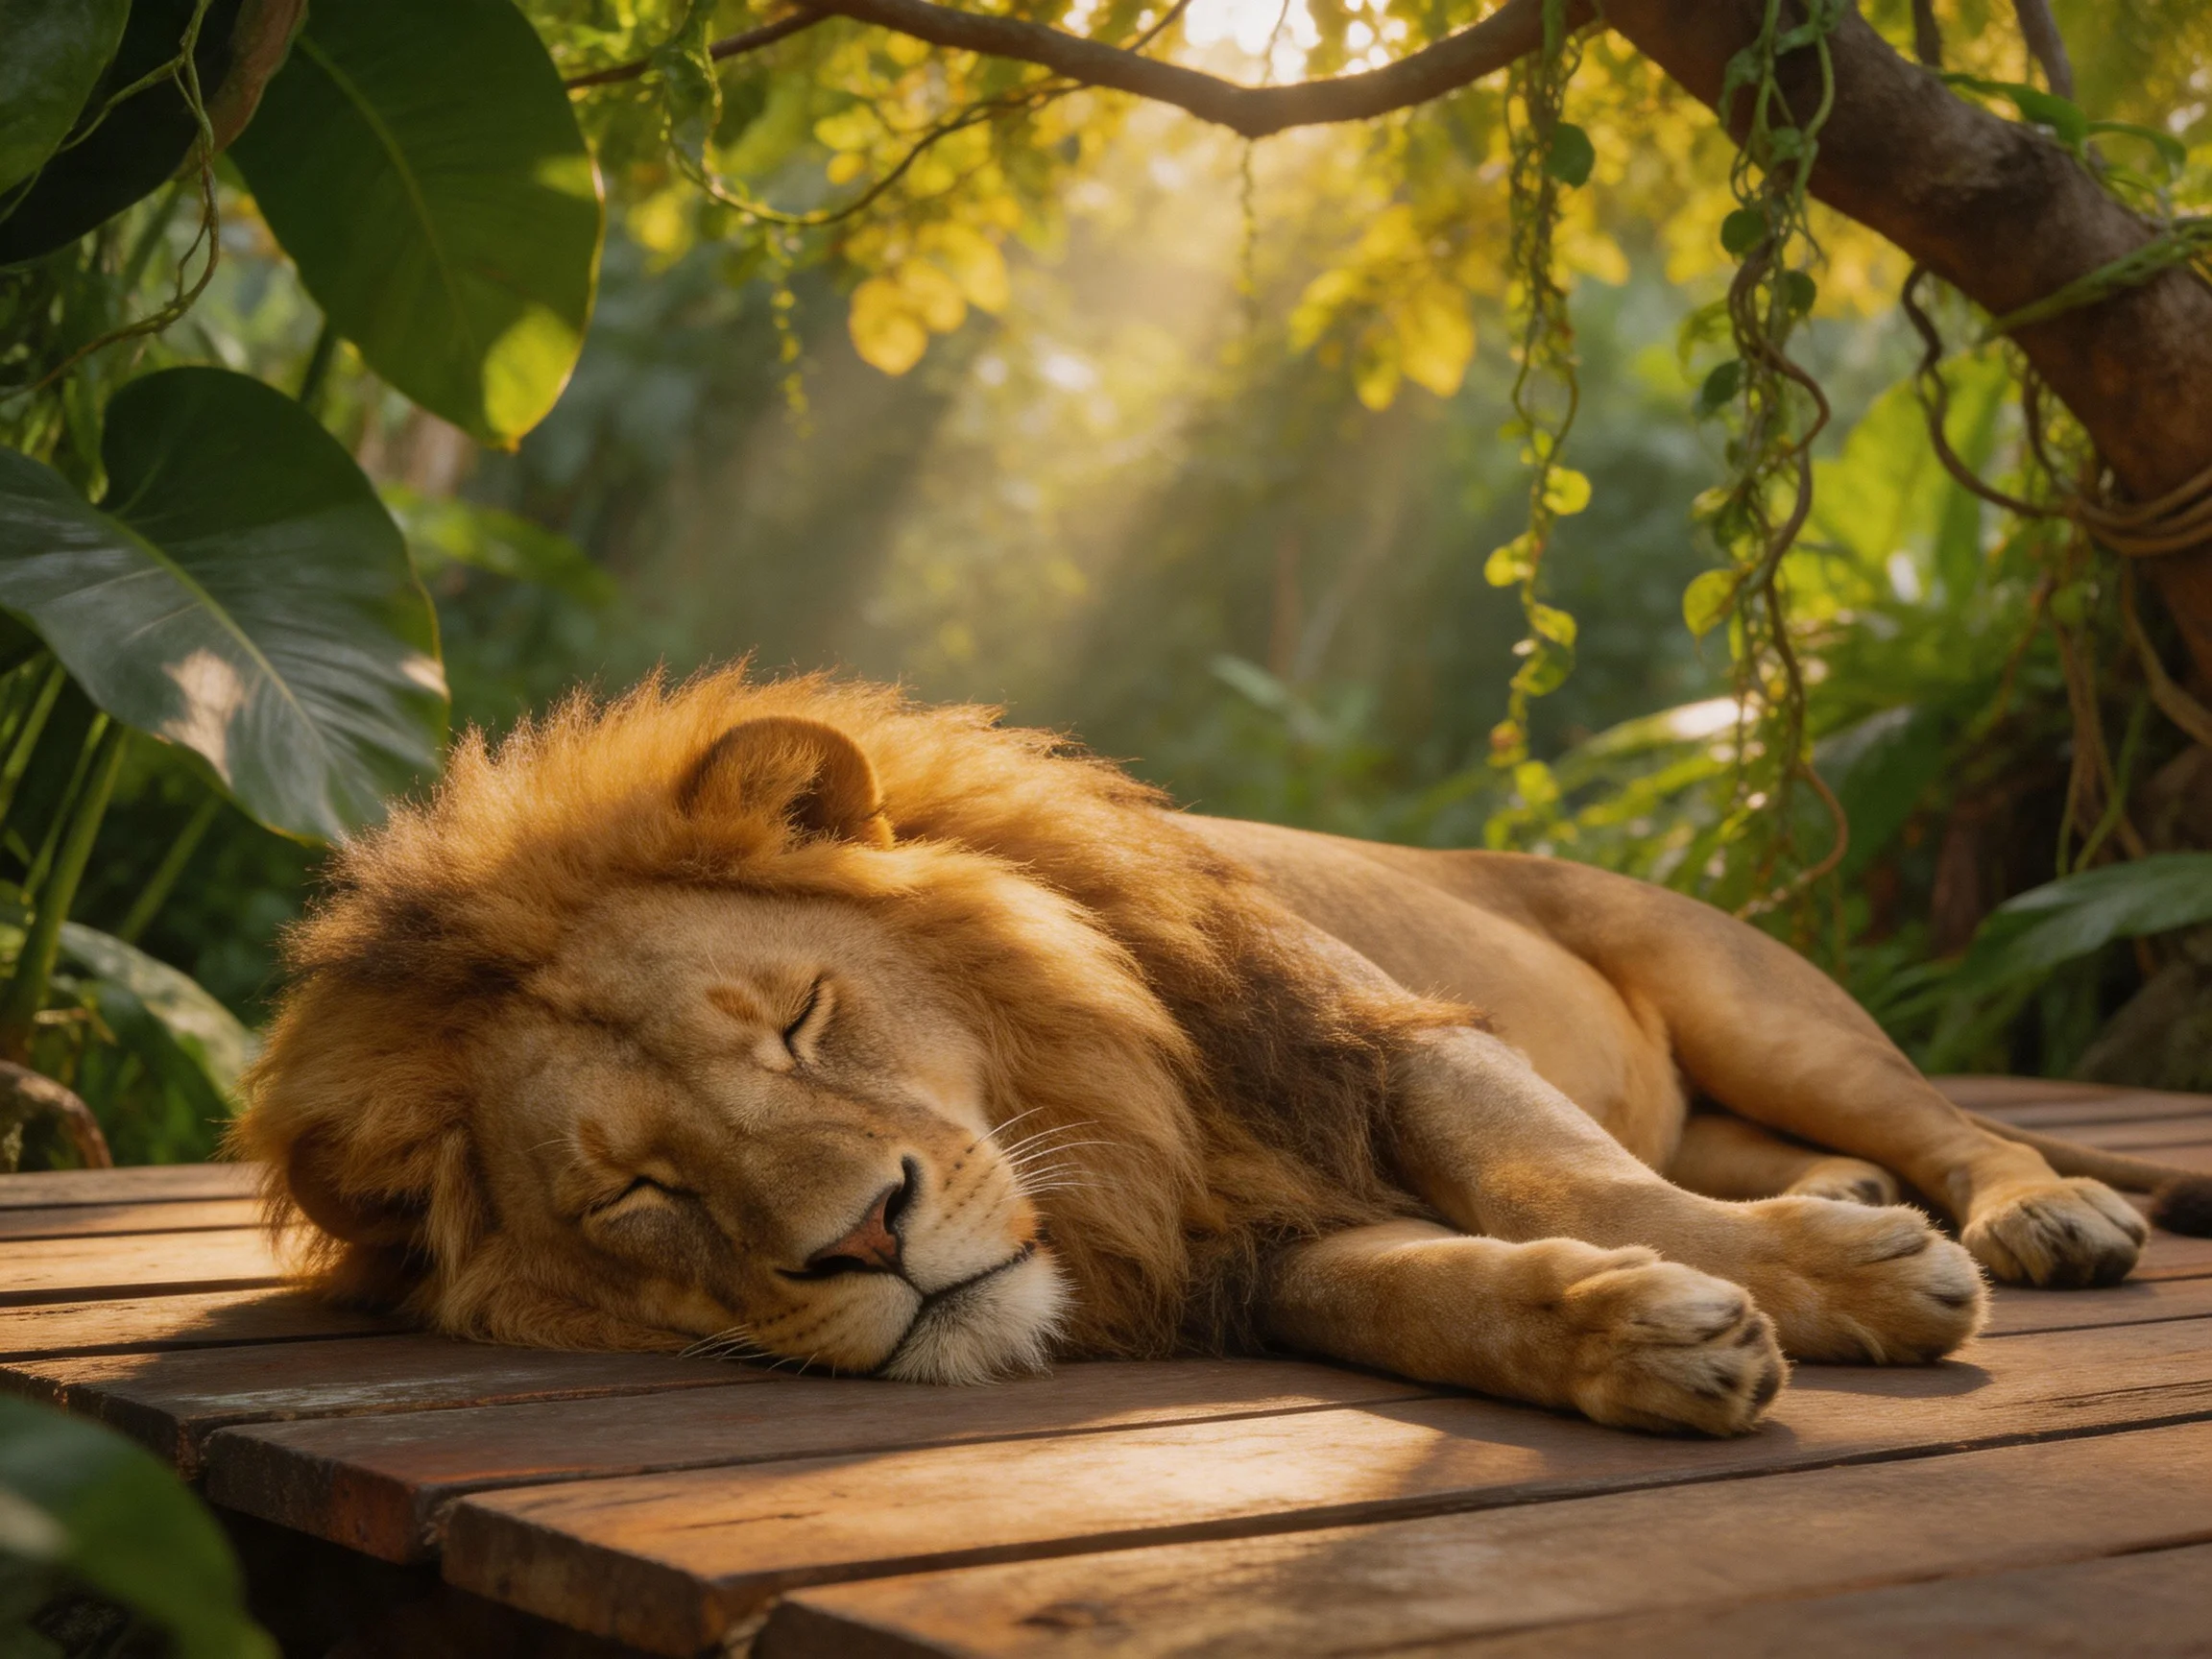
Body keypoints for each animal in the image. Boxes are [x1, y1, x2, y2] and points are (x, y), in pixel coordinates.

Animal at [233, 670, 2212, 1437]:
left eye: (798, 1019)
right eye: (639, 1193)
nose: (865, 1236)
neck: (1099, 1113)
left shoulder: (1375, 1040)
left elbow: (1551, 1167)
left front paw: (1846, 1281)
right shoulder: (1239, 1227)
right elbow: (1425, 1291)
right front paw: (1634, 1336)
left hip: (1757, 1000)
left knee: (1949, 1122)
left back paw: (2012, 1213)